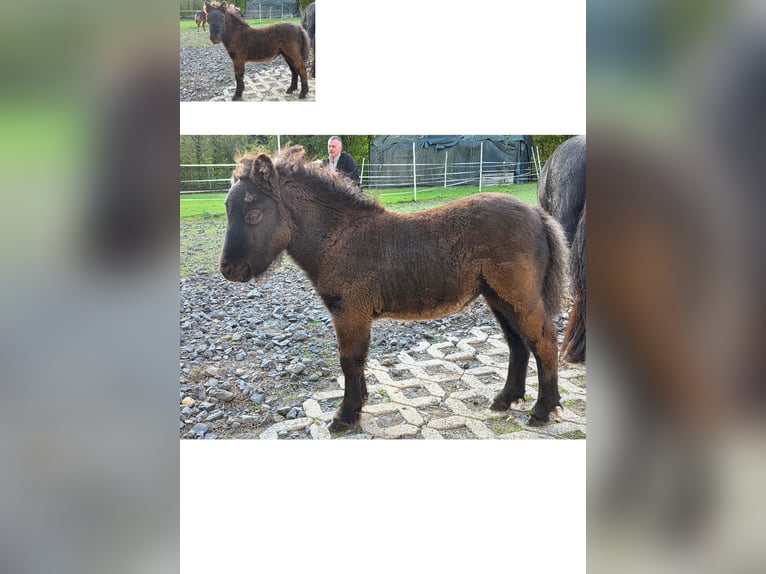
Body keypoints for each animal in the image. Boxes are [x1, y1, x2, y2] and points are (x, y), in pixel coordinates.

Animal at [219, 146, 570, 432]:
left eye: (253, 214)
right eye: (227, 209)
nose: (228, 269)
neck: (339, 237)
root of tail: (537, 213)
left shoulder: (350, 312)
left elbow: (350, 360)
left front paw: (345, 415)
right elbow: (358, 361)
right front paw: (358, 405)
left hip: (519, 296)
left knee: (544, 340)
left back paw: (542, 409)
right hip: (498, 297)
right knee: (518, 344)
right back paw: (506, 398)